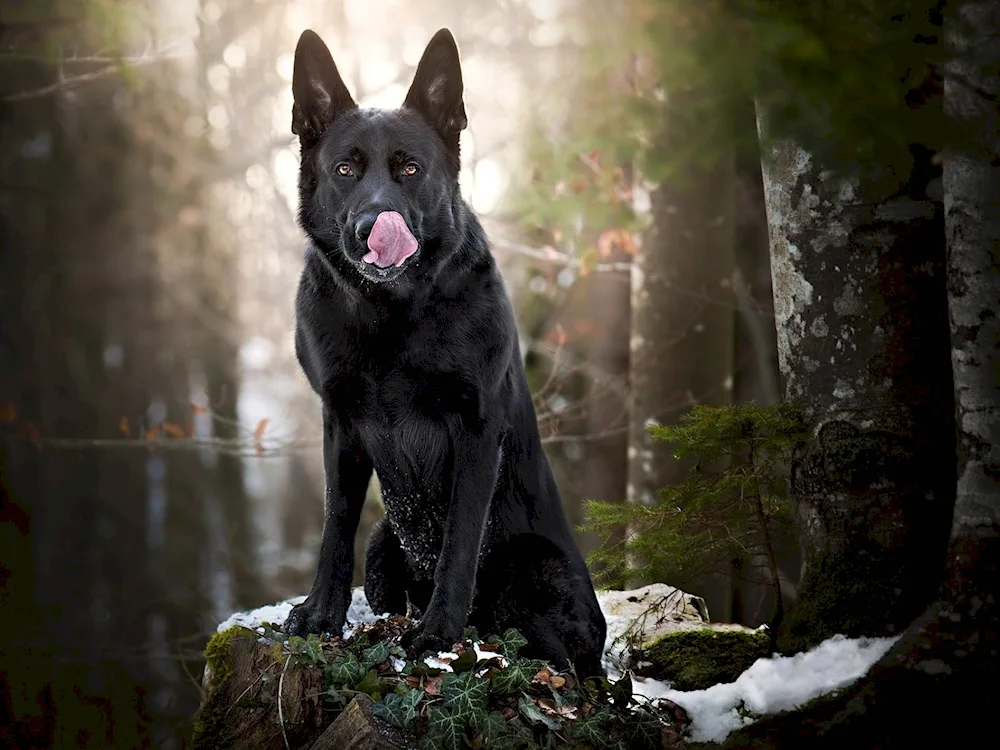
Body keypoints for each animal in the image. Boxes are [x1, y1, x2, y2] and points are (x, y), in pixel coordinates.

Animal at [282, 26, 608, 680]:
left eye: (409, 168)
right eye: (345, 169)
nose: (372, 227)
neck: (392, 312)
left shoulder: (476, 426)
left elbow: (460, 539)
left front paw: (437, 634)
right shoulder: (340, 421)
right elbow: (335, 526)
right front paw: (320, 615)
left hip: (539, 571)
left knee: (558, 651)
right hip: (384, 546)